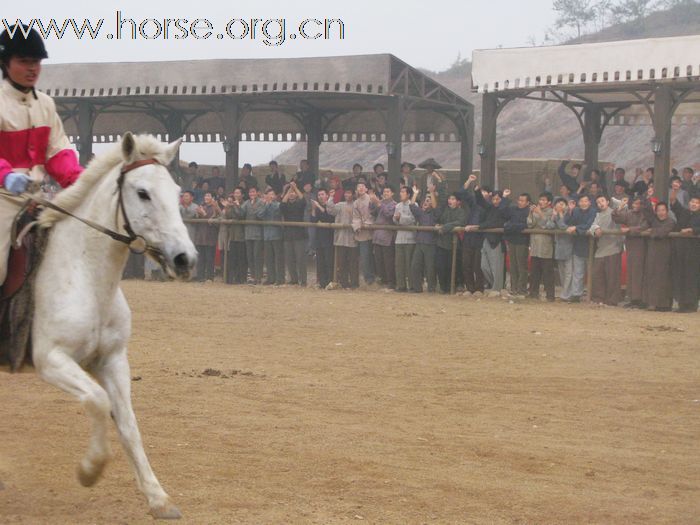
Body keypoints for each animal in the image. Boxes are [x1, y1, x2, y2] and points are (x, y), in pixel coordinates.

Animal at [31, 133, 196, 516]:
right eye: (143, 192)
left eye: (176, 191)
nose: (185, 258)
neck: (85, 277)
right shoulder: (51, 359)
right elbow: (97, 400)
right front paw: (90, 469)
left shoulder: (113, 360)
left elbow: (128, 424)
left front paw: (158, 497)